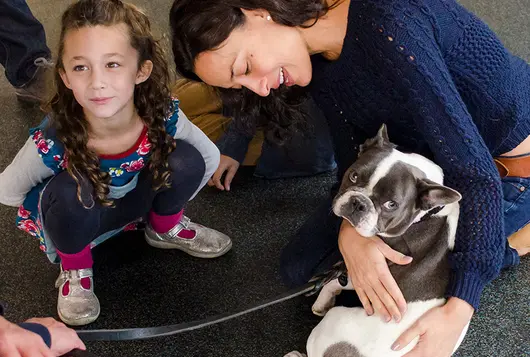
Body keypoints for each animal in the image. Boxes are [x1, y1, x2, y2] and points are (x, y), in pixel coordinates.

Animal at [284, 125, 466, 356]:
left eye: (391, 204)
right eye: (353, 176)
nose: (358, 202)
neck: (428, 214)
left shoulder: (366, 275)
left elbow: (334, 281)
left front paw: (322, 300)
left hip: (334, 320)